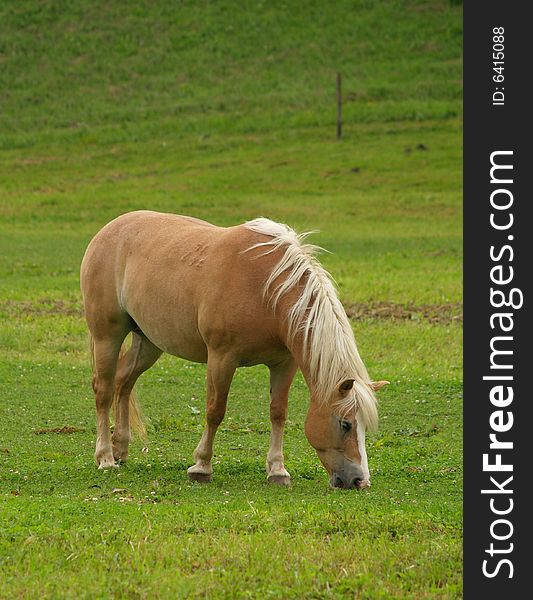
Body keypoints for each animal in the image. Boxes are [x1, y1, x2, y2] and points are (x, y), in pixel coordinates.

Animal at [80, 210, 386, 488]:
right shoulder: (221, 358)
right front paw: (201, 466)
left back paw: (120, 449)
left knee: (123, 382)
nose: (360, 480)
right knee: (104, 390)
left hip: (149, 343)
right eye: (345, 424)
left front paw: (277, 470)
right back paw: (105, 457)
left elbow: (278, 412)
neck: (266, 290)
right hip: (107, 336)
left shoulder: (284, 363)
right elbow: (215, 410)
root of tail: (108, 231)